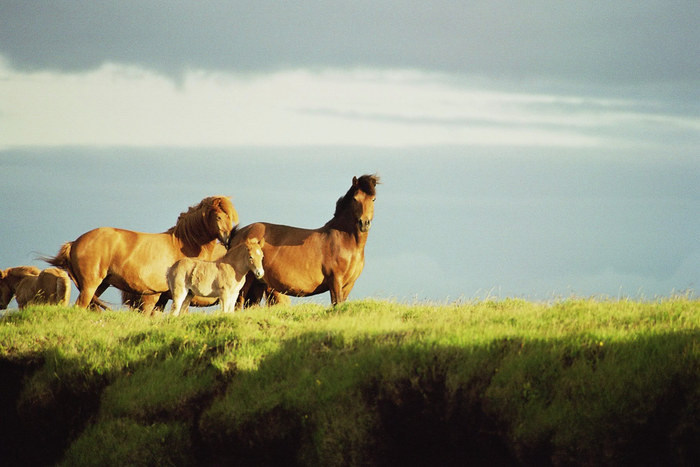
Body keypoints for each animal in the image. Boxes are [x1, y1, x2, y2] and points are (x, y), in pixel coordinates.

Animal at [45, 196, 241, 312]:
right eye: (218, 217)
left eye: (230, 218)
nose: (228, 239)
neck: (182, 246)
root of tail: (75, 243)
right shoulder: (160, 296)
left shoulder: (164, 298)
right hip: (90, 285)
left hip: (100, 285)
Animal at [232, 174, 380, 306]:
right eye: (355, 199)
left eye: (373, 199)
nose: (364, 223)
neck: (345, 243)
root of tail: (239, 233)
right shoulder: (335, 281)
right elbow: (336, 304)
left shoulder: (348, 285)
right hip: (246, 281)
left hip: (259, 283)